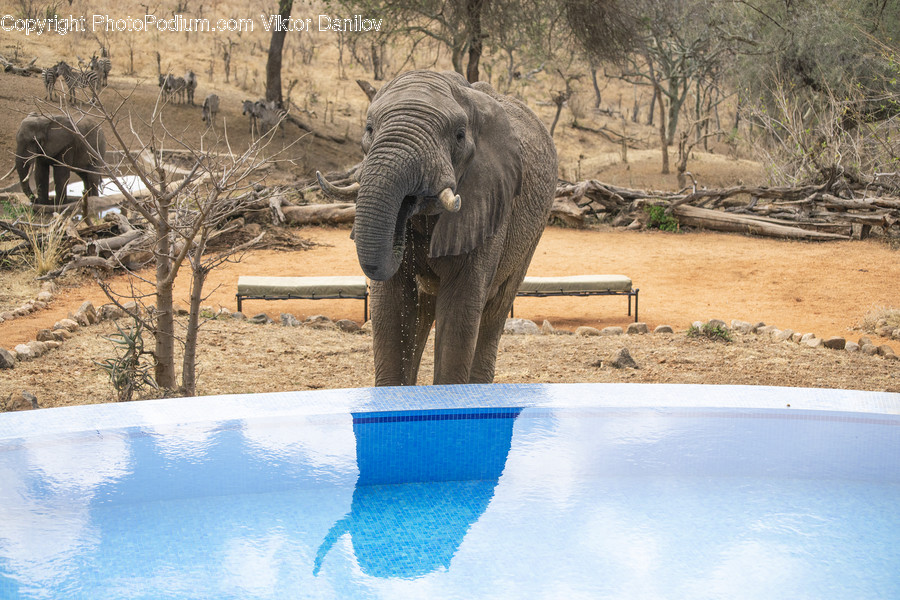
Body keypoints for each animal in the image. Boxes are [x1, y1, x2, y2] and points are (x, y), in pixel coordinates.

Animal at [318, 70, 558, 385]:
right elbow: (391, 305)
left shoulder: (489, 201)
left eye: (459, 136)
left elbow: (459, 311)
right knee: (423, 311)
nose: (405, 210)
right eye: (369, 129)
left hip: (533, 232)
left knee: (495, 309)